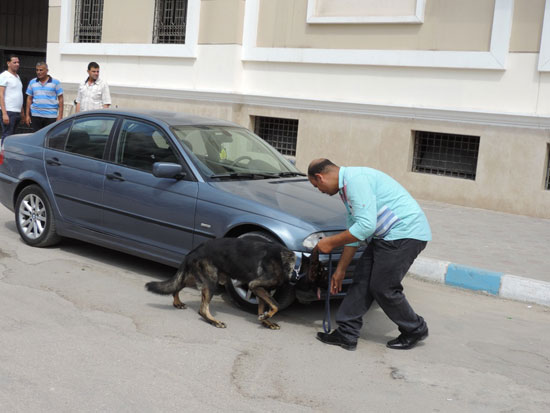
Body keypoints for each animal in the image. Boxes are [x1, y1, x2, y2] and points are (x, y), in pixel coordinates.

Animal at [144, 238, 300, 328]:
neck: (291, 264)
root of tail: (194, 250)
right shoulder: (254, 285)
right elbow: (276, 305)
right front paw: (266, 317)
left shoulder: (261, 290)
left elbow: (263, 308)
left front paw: (265, 321)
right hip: (211, 283)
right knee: (202, 309)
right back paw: (214, 321)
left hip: (194, 278)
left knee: (176, 286)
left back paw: (177, 302)